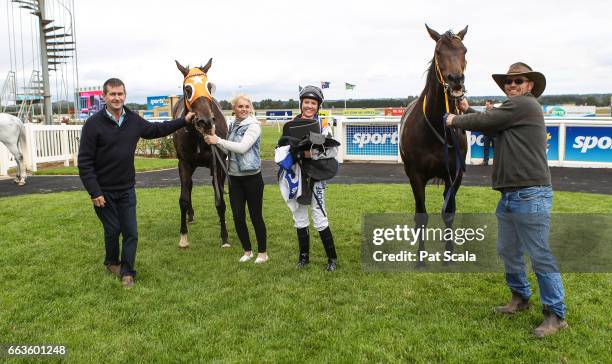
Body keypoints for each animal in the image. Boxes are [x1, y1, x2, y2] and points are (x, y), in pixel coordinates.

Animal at [172, 58, 230, 249]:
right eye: (187, 89)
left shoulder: (216, 162)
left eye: (209, 86)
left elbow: (219, 199)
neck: (199, 136)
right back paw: (190, 216)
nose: (206, 121)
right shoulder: (183, 162)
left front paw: (224, 237)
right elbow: (183, 198)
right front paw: (183, 237)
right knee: (189, 186)